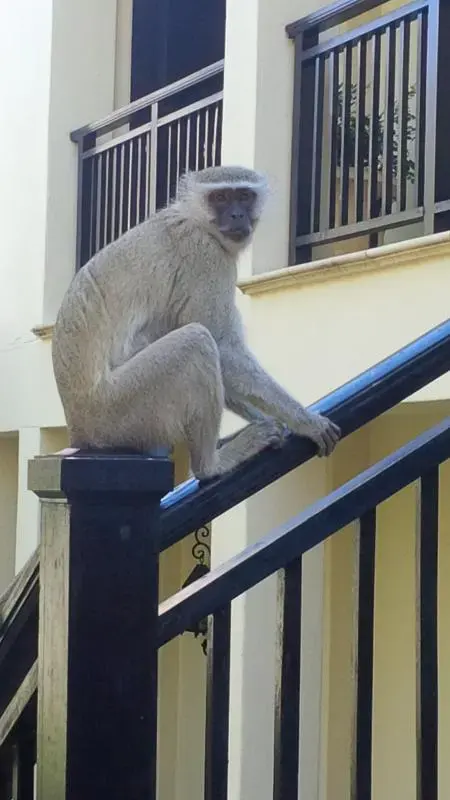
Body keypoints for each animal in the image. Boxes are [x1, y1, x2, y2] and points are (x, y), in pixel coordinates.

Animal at [52, 165, 341, 480]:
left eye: (244, 196)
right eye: (221, 197)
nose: (237, 215)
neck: (195, 219)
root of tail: (78, 428)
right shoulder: (205, 256)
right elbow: (223, 348)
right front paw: (305, 421)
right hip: (120, 409)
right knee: (196, 341)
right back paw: (211, 464)